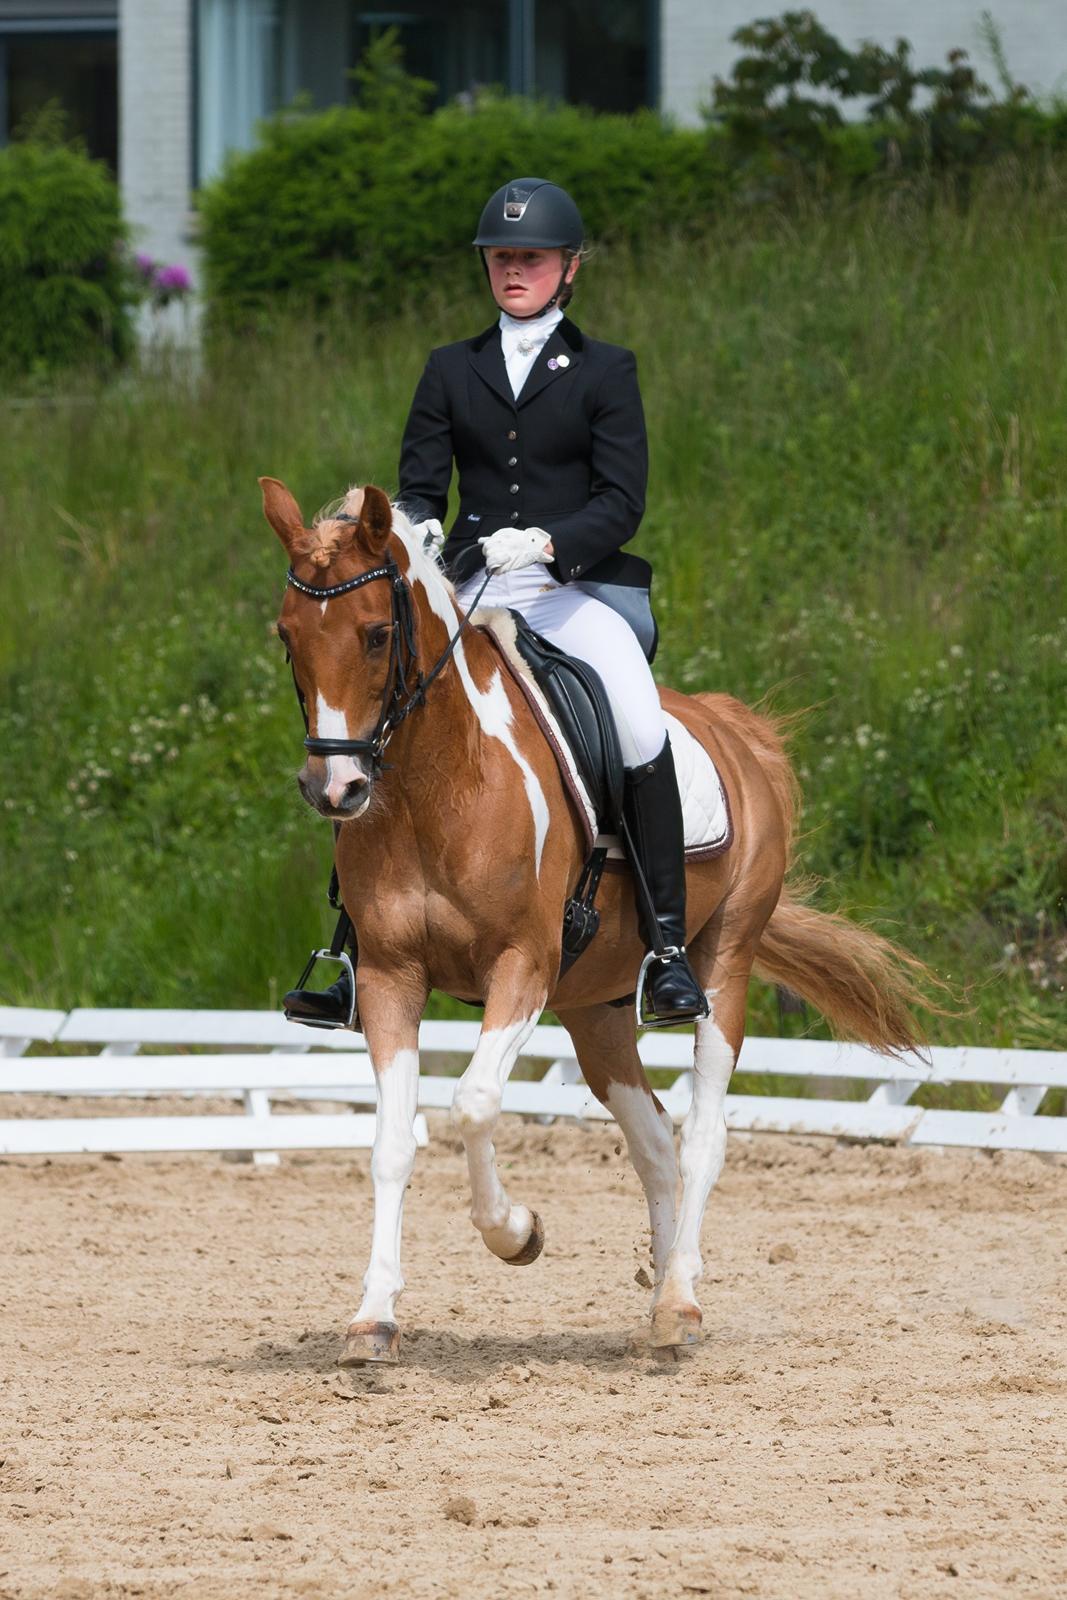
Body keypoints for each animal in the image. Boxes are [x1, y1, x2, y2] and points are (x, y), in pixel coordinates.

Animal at [261, 476, 932, 1365]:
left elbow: (473, 1103)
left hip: (722, 962)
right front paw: (373, 1319)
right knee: (653, 1143)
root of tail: (736, 727)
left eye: (375, 635)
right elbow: (392, 1142)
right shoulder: (389, 977)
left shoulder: (523, 966)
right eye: (288, 638)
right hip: (594, 1008)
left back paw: (679, 1302)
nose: (333, 790)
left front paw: (517, 1233)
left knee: (702, 1135)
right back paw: (663, 1294)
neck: (437, 783)